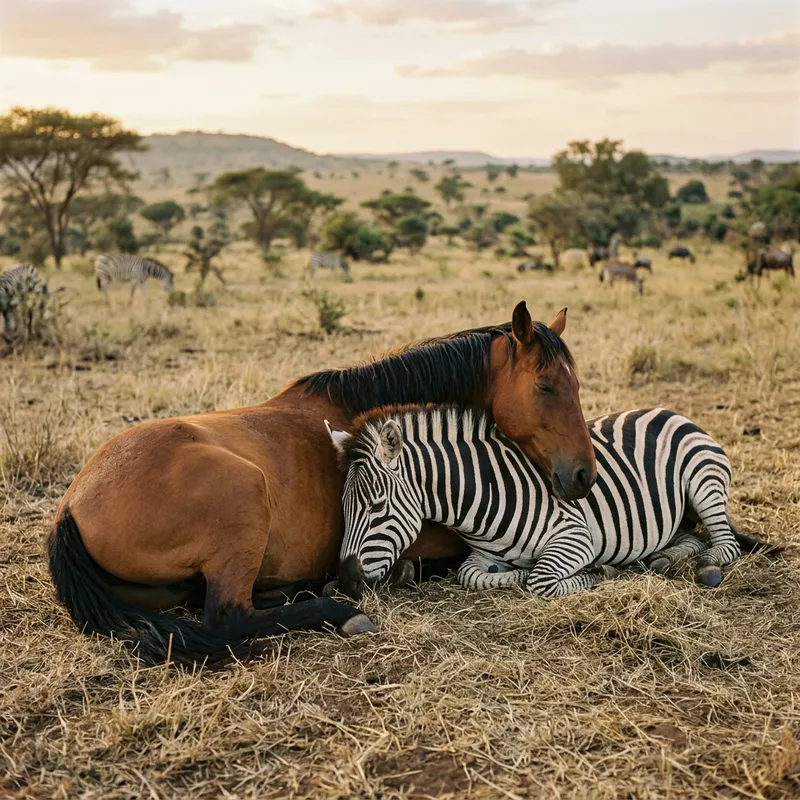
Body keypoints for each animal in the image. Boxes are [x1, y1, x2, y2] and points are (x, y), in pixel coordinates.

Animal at [48, 301, 597, 665]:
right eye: (546, 387)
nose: (584, 476)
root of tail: (70, 505)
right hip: (245, 496)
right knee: (228, 618)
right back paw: (337, 610)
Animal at [326, 406, 744, 599]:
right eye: (343, 508)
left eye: (377, 507)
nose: (344, 581)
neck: (487, 494)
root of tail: (669, 411)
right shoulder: (479, 556)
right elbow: (470, 575)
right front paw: (513, 575)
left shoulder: (576, 536)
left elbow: (541, 580)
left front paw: (596, 573)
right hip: (674, 520)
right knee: (688, 538)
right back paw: (663, 558)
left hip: (702, 481)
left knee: (724, 545)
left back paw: (705, 563)